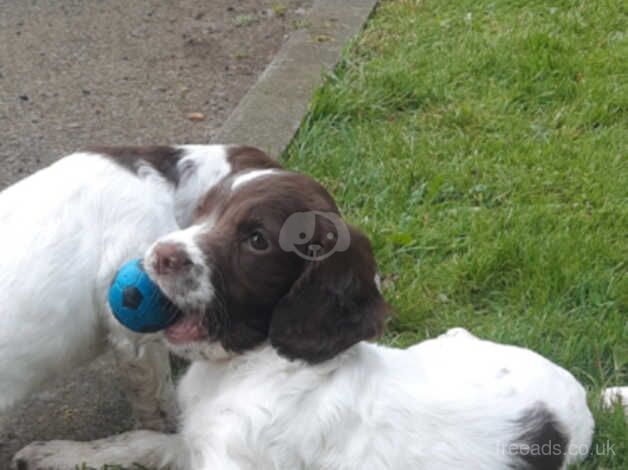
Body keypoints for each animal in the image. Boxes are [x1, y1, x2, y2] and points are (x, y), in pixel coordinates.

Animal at [13, 169, 592, 470]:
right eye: (202, 212)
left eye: (256, 240)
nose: (157, 254)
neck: (253, 367)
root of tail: (581, 396)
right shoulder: (196, 442)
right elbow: (140, 442)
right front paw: (54, 453)